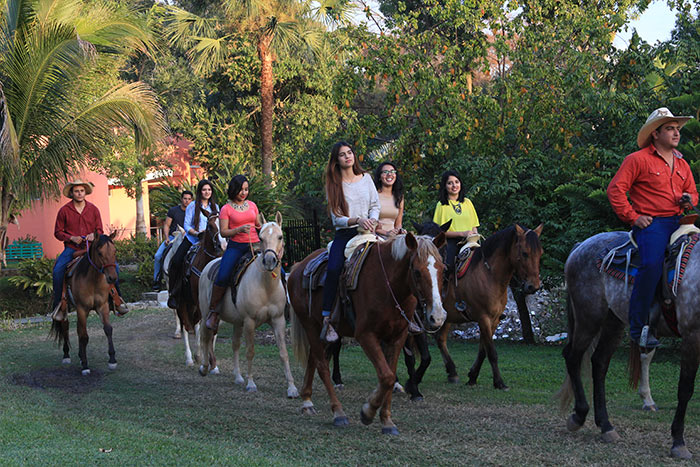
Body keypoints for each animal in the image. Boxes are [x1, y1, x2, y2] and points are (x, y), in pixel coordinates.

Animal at [197, 212, 298, 398]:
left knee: (235, 344)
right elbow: (250, 351)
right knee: (205, 336)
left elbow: (283, 353)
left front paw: (292, 388)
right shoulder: (250, 322)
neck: (266, 286)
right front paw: (251, 384)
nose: (270, 260)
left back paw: (237, 376)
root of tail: (208, 266)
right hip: (207, 313)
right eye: (261, 237)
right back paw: (205, 367)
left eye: (280, 236)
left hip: (237, 322)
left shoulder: (278, 320)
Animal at [292, 234, 448, 436]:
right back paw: (338, 412)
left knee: (313, 359)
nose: (437, 317)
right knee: (322, 365)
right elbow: (387, 376)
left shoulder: (398, 337)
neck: (387, 285)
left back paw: (307, 401)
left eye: (443, 270)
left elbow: (390, 375)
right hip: (310, 325)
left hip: (321, 331)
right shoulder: (366, 335)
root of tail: (297, 267)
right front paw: (368, 411)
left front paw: (387, 421)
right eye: (417, 272)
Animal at [434, 225, 544, 390]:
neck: (489, 275)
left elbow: (483, 350)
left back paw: (452, 372)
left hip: (447, 317)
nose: (534, 287)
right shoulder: (483, 318)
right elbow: (491, 352)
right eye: (525, 253)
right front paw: (499, 382)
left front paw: (472, 377)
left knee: (440, 339)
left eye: (540, 253)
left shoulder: (494, 320)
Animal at [560, 231, 700, 460]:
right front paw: (678, 442)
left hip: (613, 322)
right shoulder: (692, 336)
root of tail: (580, 246)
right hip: (589, 318)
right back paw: (579, 416)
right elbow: (685, 389)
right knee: (573, 357)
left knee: (599, 364)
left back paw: (606, 426)